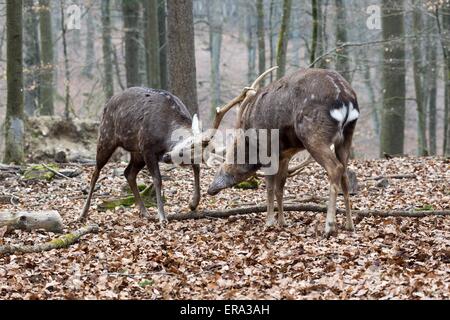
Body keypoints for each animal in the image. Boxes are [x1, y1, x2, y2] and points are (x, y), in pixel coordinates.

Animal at [80, 87, 201, 222]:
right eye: (183, 149)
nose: (166, 157)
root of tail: (107, 104)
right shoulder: (147, 148)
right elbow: (157, 179)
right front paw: (162, 217)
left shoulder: (145, 150)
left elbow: (197, 169)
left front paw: (193, 203)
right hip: (106, 136)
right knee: (95, 173)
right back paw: (83, 214)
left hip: (136, 152)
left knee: (128, 173)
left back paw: (144, 212)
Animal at [207, 68, 358, 238]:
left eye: (221, 169)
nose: (210, 189)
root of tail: (346, 98)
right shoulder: (285, 155)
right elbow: (280, 188)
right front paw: (282, 222)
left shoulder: (267, 150)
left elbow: (270, 188)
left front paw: (269, 222)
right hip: (347, 135)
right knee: (345, 173)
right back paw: (349, 224)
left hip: (313, 133)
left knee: (335, 168)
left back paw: (329, 227)